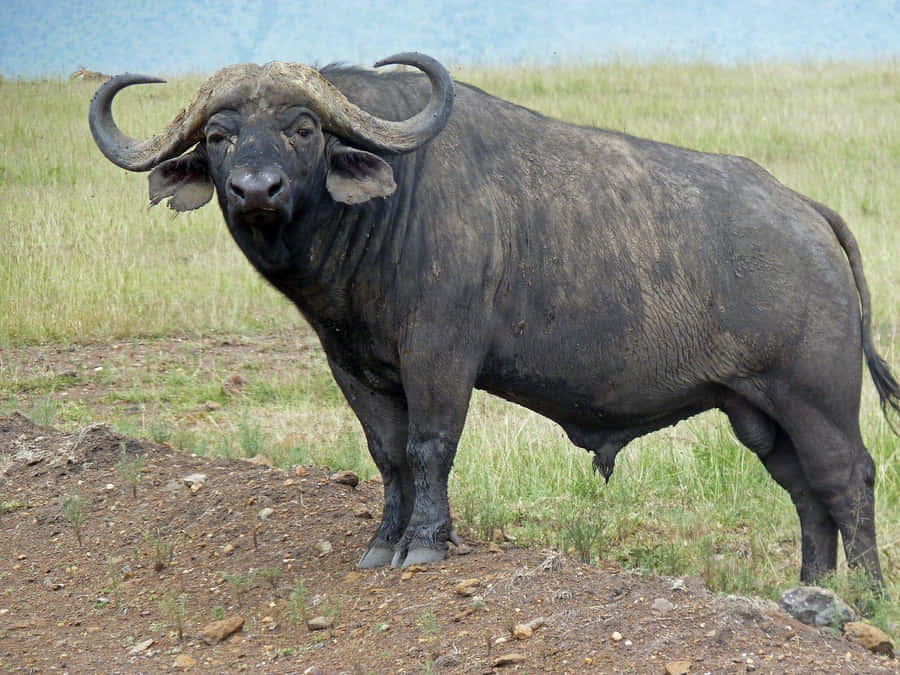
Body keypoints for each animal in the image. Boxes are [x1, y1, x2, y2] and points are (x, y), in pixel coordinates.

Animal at [90, 53, 898, 586]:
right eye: (219, 135)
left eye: (303, 128)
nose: (256, 190)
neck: (387, 210)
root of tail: (805, 211)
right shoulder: (353, 367)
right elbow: (386, 454)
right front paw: (382, 543)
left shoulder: (440, 357)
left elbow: (429, 448)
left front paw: (426, 544)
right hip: (757, 413)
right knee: (806, 492)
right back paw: (814, 589)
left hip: (816, 398)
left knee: (847, 478)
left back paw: (863, 596)